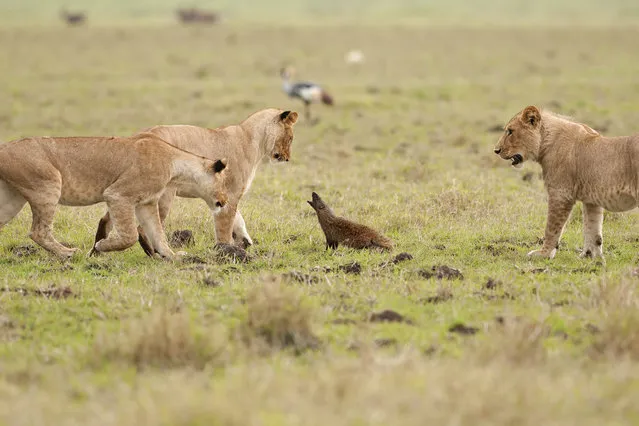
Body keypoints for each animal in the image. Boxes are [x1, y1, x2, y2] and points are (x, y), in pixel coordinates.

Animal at [0, 133, 229, 260]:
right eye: (225, 182)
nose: (225, 201)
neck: (176, 163)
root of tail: (4, 146)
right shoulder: (118, 195)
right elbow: (130, 235)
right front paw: (101, 247)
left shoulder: (146, 203)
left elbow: (157, 233)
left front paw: (172, 256)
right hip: (48, 185)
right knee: (38, 231)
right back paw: (67, 253)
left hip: (11, 200)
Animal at [91, 108, 298, 258]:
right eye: (290, 137)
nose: (287, 158)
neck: (252, 138)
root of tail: (138, 135)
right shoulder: (231, 193)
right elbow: (226, 224)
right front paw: (227, 249)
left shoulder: (226, 194)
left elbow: (239, 220)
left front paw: (246, 241)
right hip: (163, 195)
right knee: (143, 228)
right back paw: (156, 255)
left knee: (106, 220)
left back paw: (96, 252)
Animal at [496, 105, 639, 260]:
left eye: (510, 131)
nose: (496, 150)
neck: (545, 142)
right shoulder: (591, 200)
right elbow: (592, 229)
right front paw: (590, 257)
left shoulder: (561, 194)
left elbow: (552, 228)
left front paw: (544, 253)